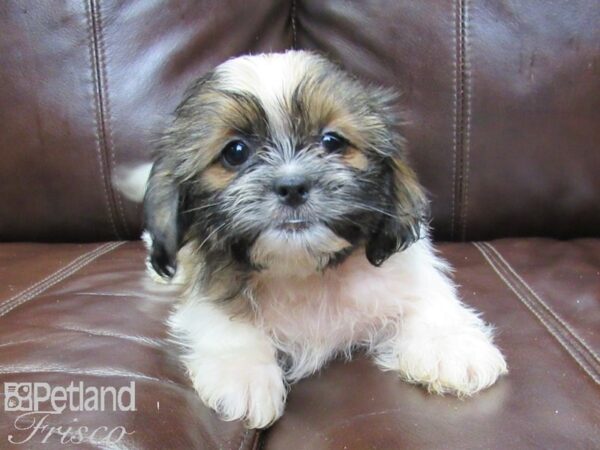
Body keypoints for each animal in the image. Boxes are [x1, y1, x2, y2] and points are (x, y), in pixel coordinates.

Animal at [125, 50, 506, 428]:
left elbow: (428, 298)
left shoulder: (405, 273)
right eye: (235, 152)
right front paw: (242, 372)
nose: (292, 186)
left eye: (332, 142)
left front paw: (451, 348)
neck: (305, 270)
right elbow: (224, 320)